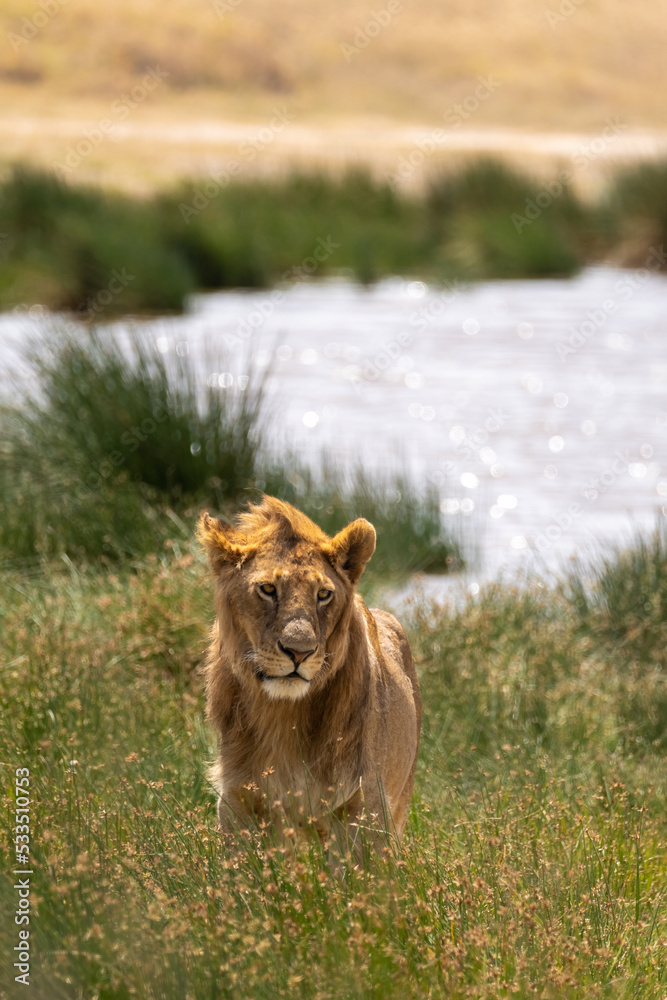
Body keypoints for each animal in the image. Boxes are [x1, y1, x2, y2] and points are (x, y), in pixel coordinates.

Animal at [197, 495, 421, 852]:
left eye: (323, 594)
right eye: (268, 589)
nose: (299, 652)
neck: (284, 713)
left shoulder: (365, 803)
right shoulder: (237, 796)